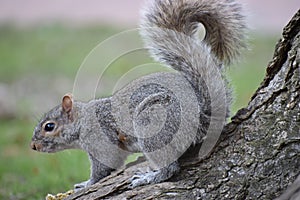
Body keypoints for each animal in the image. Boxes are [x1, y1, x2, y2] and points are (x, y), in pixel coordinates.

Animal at [30, 0, 246, 189]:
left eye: (49, 127)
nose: (33, 146)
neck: (82, 122)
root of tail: (202, 114)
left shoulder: (101, 141)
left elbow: (103, 169)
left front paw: (87, 184)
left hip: (154, 125)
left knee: (170, 168)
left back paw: (149, 177)